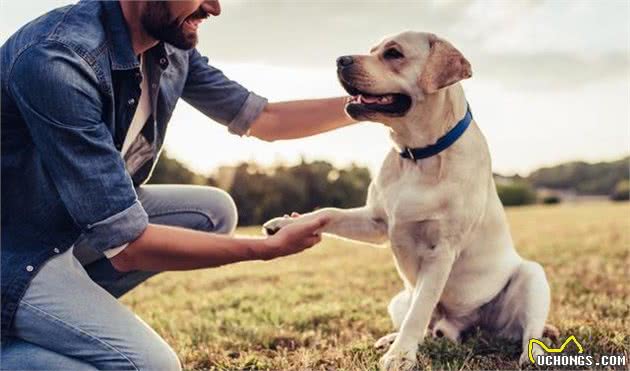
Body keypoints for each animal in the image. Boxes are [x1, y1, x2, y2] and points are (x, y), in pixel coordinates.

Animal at [264, 32, 556, 371]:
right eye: (373, 49)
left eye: (393, 54)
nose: (340, 60)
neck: (418, 156)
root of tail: (465, 327)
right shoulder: (376, 222)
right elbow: (328, 211)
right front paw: (286, 224)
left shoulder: (441, 251)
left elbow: (420, 311)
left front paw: (400, 356)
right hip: (399, 298)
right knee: (428, 327)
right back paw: (395, 337)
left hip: (532, 276)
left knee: (527, 330)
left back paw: (532, 356)